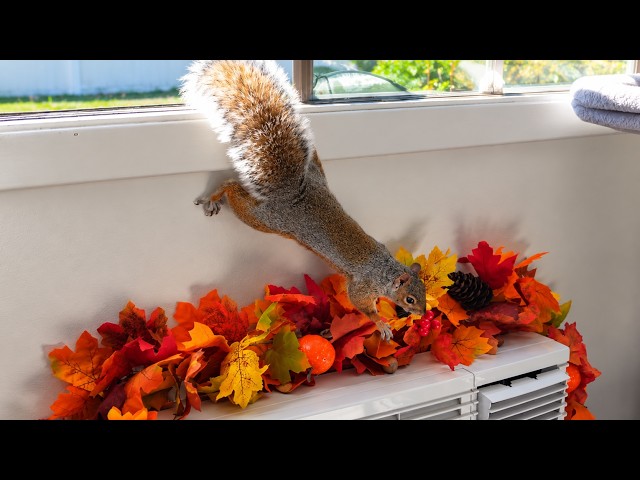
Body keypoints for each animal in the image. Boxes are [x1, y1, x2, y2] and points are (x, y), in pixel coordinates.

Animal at [180, 60, 426, 342]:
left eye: (424, 290)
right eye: (409, 299)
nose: (422, 313)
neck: (386, 271)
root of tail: (293, 190)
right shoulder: (363, 286)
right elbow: (361, 305)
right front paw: (381, 324)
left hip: (315, 170)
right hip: (262, 218)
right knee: (233, 189)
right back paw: (214, 196)